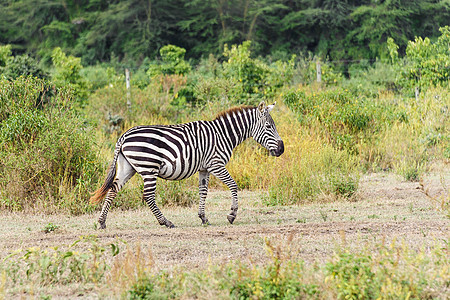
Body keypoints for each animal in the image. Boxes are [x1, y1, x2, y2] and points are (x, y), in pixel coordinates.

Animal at [89, 102, 284, 229]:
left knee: (113, 190)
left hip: (127, 167)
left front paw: (203, 218)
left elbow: (203, 192)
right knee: (148, 196)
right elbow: (233, 185)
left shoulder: (204, 168)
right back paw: (166, 222)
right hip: (148, 168)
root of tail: (124, 135)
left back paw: (102, 222)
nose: (281, 149)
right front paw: (232, 215)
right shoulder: (216, 164)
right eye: (269, 126)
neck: (223, 134)